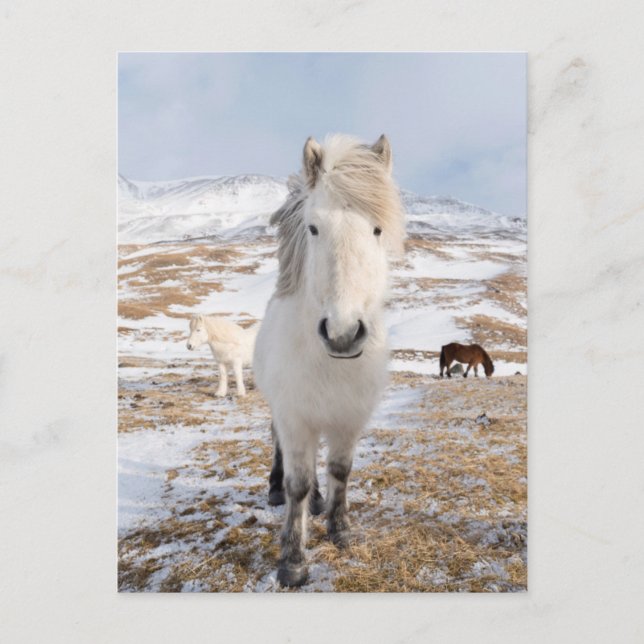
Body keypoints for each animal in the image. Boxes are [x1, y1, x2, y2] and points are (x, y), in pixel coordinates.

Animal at [253, 133, 405, 587]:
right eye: (314, 227)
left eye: (376, 229)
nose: (343, 332)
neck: (331, 362)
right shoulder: (294, 417)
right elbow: (298, 484)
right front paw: (293, 559)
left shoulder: (349, 418)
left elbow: (340, 470)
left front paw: (341, 529)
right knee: (280, 452)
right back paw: (276, 490)